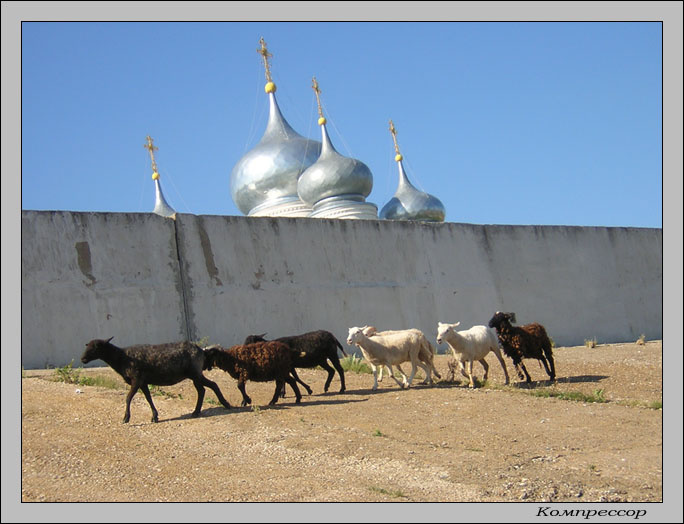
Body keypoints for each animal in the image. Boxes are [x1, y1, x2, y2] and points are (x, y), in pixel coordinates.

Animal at [80, 337, 231, 423]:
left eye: (96, 347)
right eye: (87, 346)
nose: (83, 359)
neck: (121, 358)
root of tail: (202, 351)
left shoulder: (136, 379)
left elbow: (128, 398)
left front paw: (126, 418)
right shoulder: (143, 382)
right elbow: (148, 398)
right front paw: (154, 416)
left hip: (195, 373)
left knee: (208, 387)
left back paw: (221, 405)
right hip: (194, 374)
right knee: (205, 388)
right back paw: (202, 410)